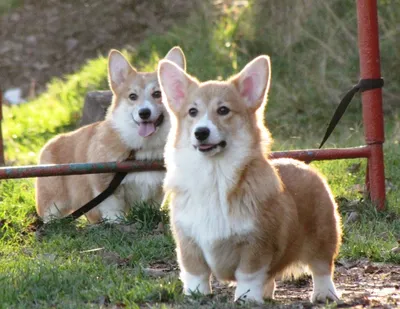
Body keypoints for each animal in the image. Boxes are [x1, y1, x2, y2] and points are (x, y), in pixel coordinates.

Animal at [36, 45, 186, 223]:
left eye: (158, 94)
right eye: (132, 96)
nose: (144, 113)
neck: (142, 148)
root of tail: (49, 143)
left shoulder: (157, 190)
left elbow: (153, 204)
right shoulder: (104, 183)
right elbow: (113, 209)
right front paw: (116, 222)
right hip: (54, 200)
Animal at [158, 54, 342, 302]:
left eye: (223, 110)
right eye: (192, 112)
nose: (201, 132)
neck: (214, 175)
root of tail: (302, 164)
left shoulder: (256, 244)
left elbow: (248, 274)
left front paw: (246, 298)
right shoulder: (188, 241)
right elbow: (195, 272)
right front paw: (196, 295)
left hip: (323, 236)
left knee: (322, 267)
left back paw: (325, 294)